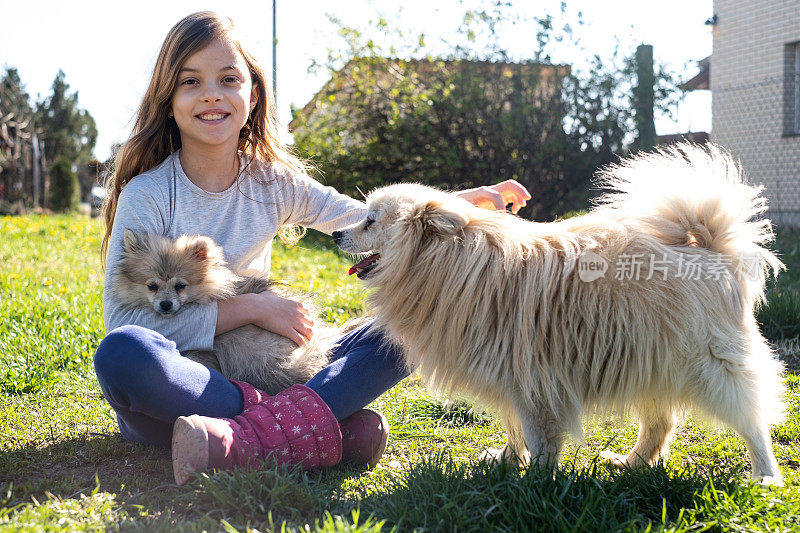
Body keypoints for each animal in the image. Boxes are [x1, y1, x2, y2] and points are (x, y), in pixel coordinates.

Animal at [332, 143, 788, 484]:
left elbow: (538, 438)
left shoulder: (532, 382)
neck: (445, 262)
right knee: (660, 423)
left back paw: (766, 477)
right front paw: (506, 462)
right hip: (651, 360)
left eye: (370, 221)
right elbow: (513, 429)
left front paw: (536, 482)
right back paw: (632, 462)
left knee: (752, 421)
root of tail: (709, 247)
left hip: (712, 364)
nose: (336, 232)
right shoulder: (507, 378)